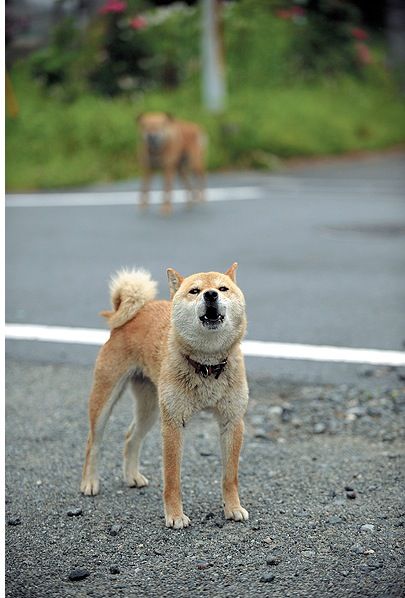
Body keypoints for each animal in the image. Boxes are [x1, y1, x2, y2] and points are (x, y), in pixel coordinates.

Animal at [80, 262, 248, 528]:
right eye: (194, 291)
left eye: (223, 288)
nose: (211, 295)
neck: (207, 366)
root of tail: (138, 310)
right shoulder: (173, 424)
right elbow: (172, 478)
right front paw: (175, 515)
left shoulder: (232, 421)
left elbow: (229, 477)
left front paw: (232, 508)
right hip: (105, 398)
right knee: (93, 442)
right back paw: (89, 482)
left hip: (149, 408)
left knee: (131, 437)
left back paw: (132, 477)